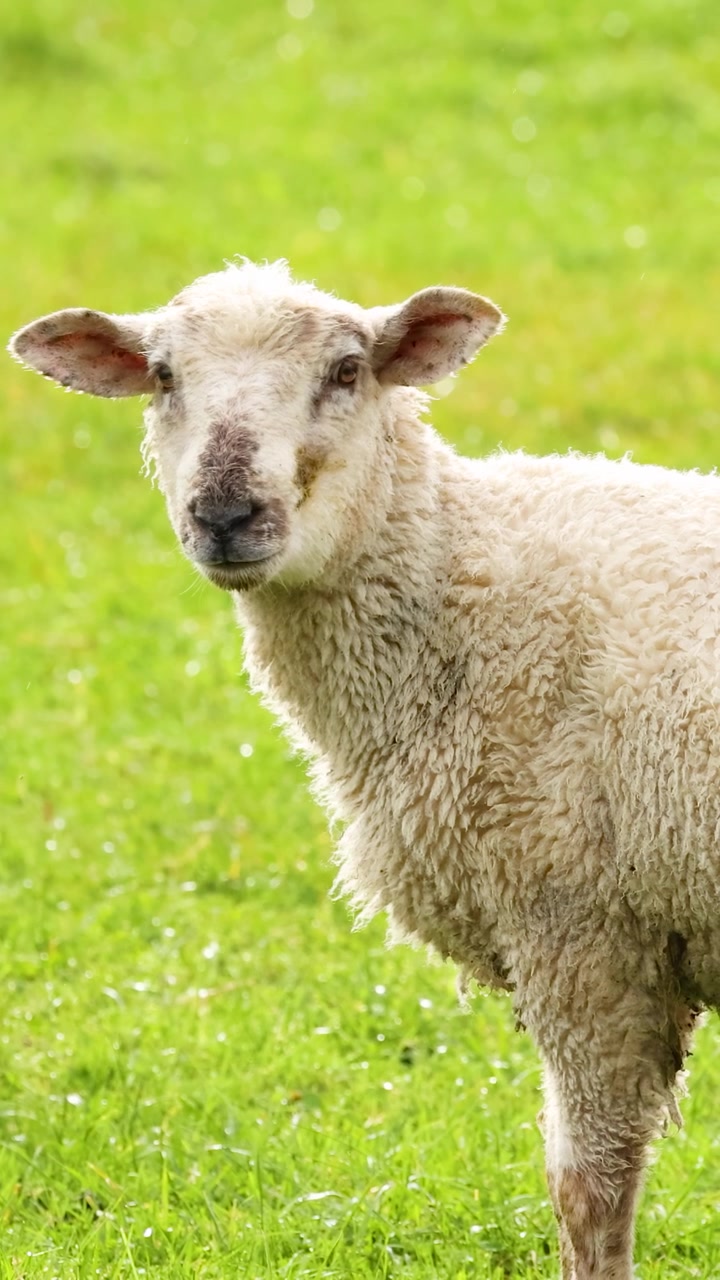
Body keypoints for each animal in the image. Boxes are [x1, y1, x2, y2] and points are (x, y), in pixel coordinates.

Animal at [9, 257, 720, 1279]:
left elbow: (590, 1187)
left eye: (347, 370)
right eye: (162, 375)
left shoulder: (582, 928)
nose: (226, 513)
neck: (464, 588)